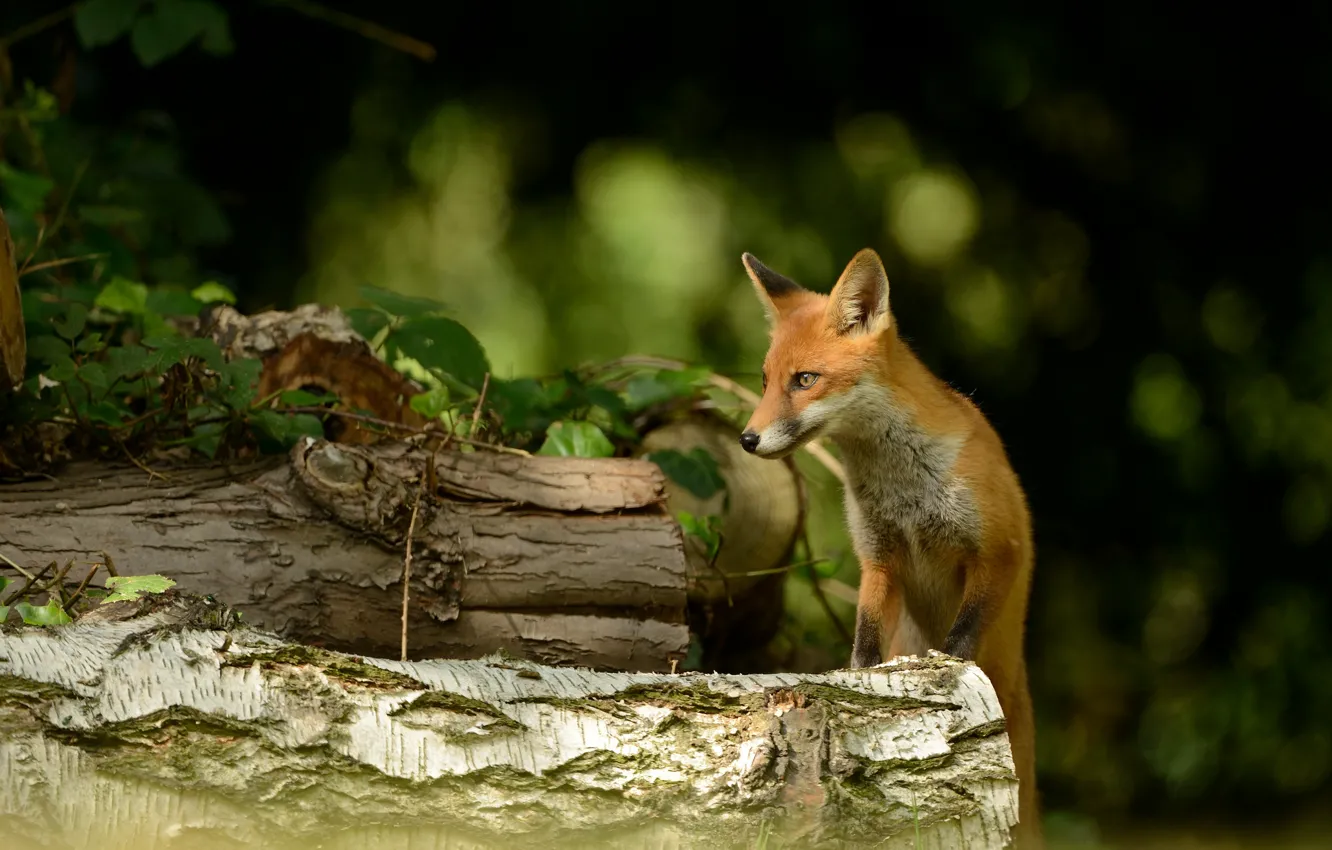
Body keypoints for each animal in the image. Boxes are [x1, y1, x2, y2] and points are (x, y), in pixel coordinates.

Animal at [737, 247, 1041, 849]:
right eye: (764, 380)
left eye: (805, 380)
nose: (747, 439)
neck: (903, 488)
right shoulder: (879, 558)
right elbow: (865, 636)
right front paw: (857, 688)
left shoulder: (999, 550)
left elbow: (962, 637)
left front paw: (947, 673)